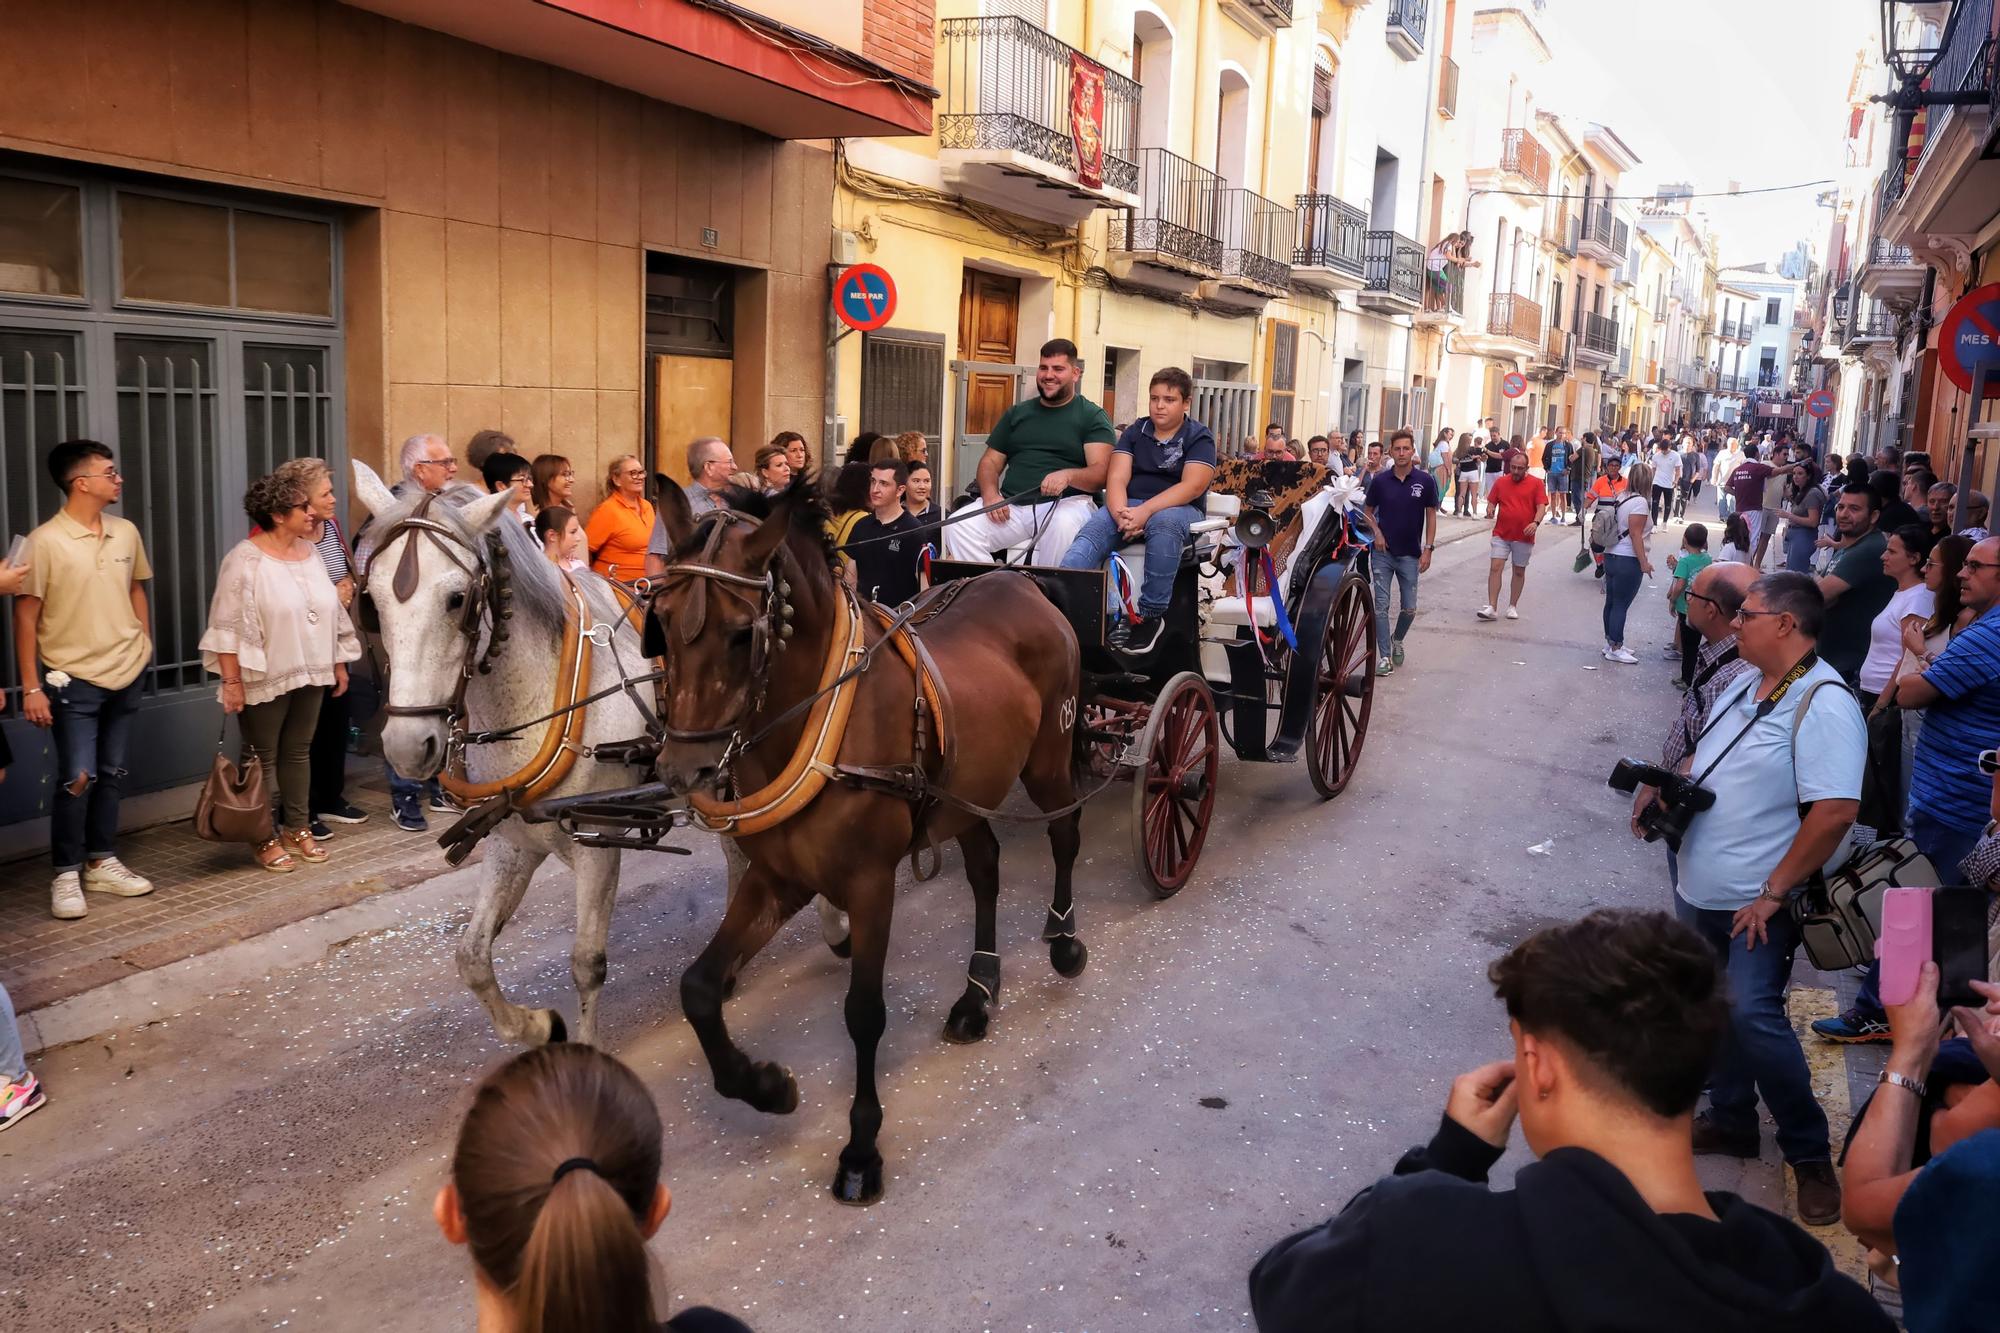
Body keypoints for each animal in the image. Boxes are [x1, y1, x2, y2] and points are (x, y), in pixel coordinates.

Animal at [652, 480, 1096, 1200]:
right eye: (660, 620)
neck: (818, 719)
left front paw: (862, 1148)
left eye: (743, 633)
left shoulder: (869, 884)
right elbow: (698, 987)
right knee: (986, 870)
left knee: (1064, 832)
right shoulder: (778, 879)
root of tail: (1025, 581)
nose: (680, 770)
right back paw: (978, 991)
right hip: (966, 793)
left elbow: (863, 1011)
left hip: (1049, 760)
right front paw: (765, 1085)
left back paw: (1063, 937)